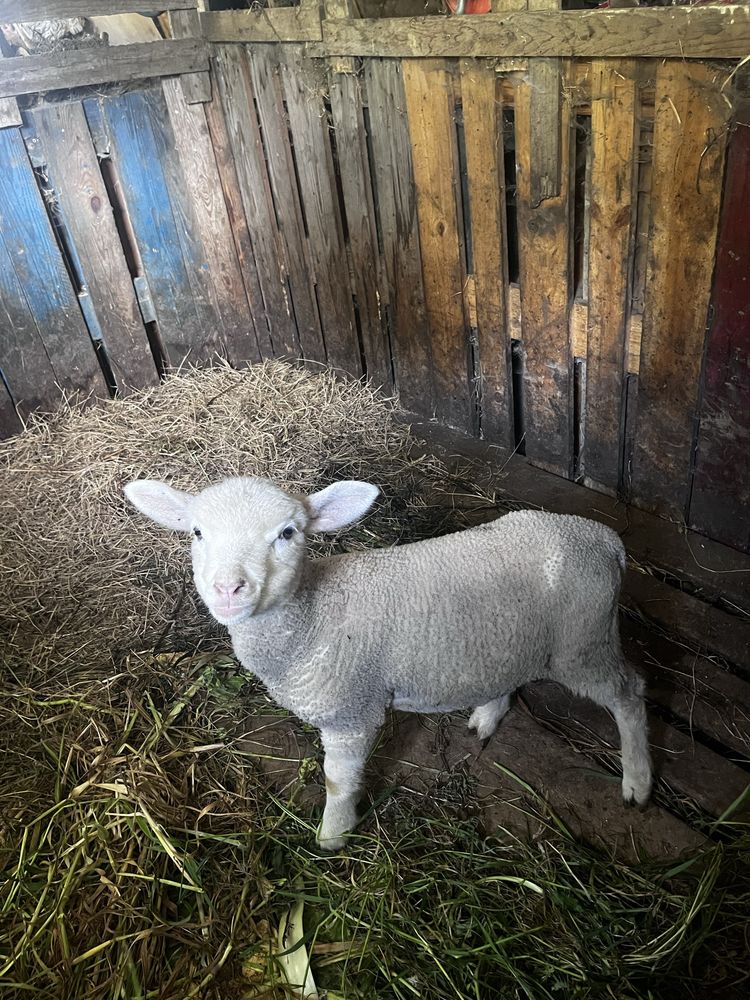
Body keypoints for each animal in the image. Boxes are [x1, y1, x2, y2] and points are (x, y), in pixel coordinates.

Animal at [123, 472, 652, 848]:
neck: (313, 613)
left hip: (584, 641)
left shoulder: (352, 712)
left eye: (287, 533)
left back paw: (638, 781)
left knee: (630, 694)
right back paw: (487, 715)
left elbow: (338, 782)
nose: (228, 589)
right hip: (512, 636)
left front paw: (332, 836)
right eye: (197, 532)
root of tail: (607, 540)